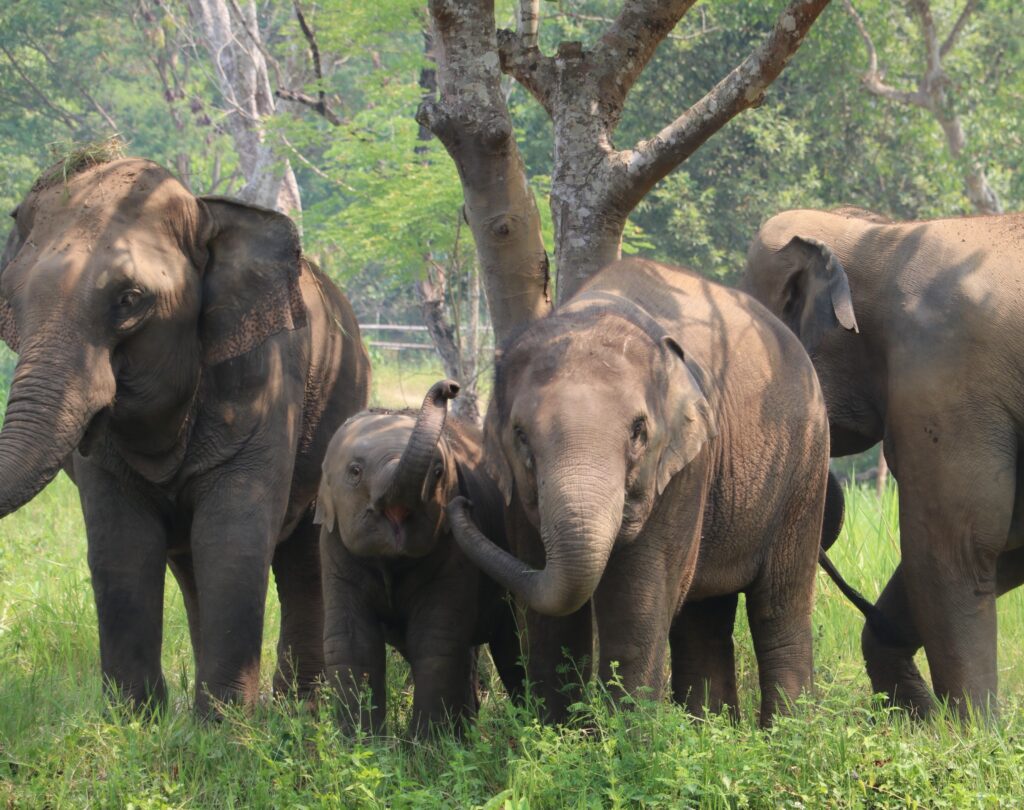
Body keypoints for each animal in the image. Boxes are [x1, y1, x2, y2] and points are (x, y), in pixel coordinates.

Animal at [0, 156, 370, 715]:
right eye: (14, 302)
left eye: (130, 299)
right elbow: (121, 543)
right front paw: (134, 720)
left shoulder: (264, 376)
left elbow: (232, 538)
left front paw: (228, 726)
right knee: (190, 564)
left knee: (304, 559)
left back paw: (297, 709)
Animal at [315, 380, 525, 737]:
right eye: (355, 471)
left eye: (438, 472)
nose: (450, 387)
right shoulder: (334, 546)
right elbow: (352, 642)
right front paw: (360, 744)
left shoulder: (453, 552)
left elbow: (435, 638)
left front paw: (426, 747)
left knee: (512, 648)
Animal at [448, 257, 831, 725]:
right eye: (521, 435)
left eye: (638, 431)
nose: (461, 501)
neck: (594, 312)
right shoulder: (517, 496)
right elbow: (547, 607)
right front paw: (556, 734)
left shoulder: (686, 467)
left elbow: (635, 604)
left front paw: (625, 739)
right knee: (704, 615)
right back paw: (709, 728)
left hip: (805, 467)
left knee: (779, 607)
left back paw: (789, 734)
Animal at [742, 205, 1024, 718]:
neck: (883, 234)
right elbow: (1012, 541)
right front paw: (922, 718)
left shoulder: (942, 374)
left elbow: (956, 545)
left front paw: (972, 728)